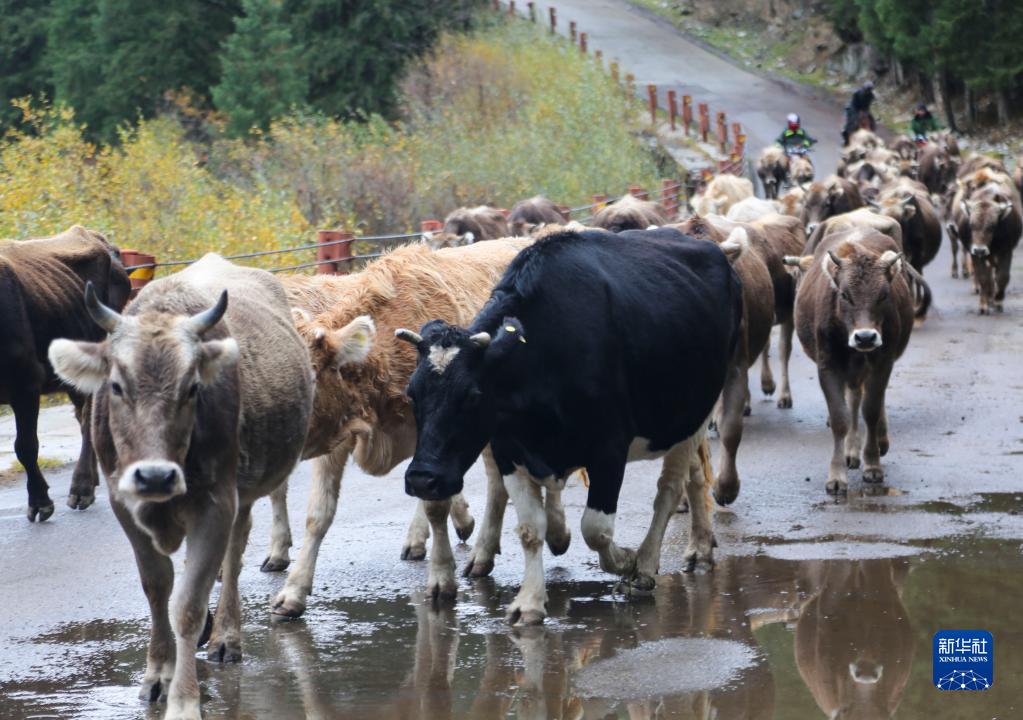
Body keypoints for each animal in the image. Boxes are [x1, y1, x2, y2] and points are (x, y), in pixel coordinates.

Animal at [48, 254, 314, 720]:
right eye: (116, 386)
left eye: (192, 388)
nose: (155, 476)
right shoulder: (124, 506)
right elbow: (158, 588)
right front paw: (157, 674)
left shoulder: (216, 505)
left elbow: (188, 604)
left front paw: (185, 699)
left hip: (240, 497)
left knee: (233, 558)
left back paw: (226, 636)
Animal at [267, 239, 578, 619]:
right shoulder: (342, 438)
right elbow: (318, 515)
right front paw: (293, 591)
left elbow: (435, 505)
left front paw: (442, 578)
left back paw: (548, 533)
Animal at [397, 227, 742, 624]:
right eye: (412, 393)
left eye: (471, 395)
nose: (422, 479)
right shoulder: (509, 450)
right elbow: (530, 529)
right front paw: (529, 601)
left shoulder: (609, 447)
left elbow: (596, 530)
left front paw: (626, 561)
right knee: (694, 477)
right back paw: (699, 548)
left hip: (695, 411)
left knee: (670, 490)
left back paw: (649, 563)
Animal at [790, 229, 915, 495]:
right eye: (845, 294)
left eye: (883, 295)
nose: (865, 337)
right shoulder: (828, 366)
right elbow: (840, 418)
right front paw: (837, 476)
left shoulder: (883, 362)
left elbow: (871, 410)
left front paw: (873, 464)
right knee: (854, 400)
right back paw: (851, 451)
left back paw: (879, 441)